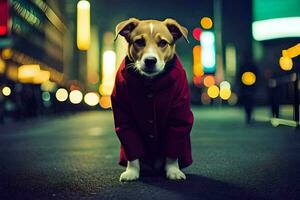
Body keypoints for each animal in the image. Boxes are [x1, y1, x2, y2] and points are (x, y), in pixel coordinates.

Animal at [111, 18, 193, 181]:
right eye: (139, 42)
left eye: (162, 43)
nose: (150, 60)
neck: (150, 82)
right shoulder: (123, 114)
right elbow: (131, 144)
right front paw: (132, 171)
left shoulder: (178, 113)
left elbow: (173, 145)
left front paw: (173, 170)